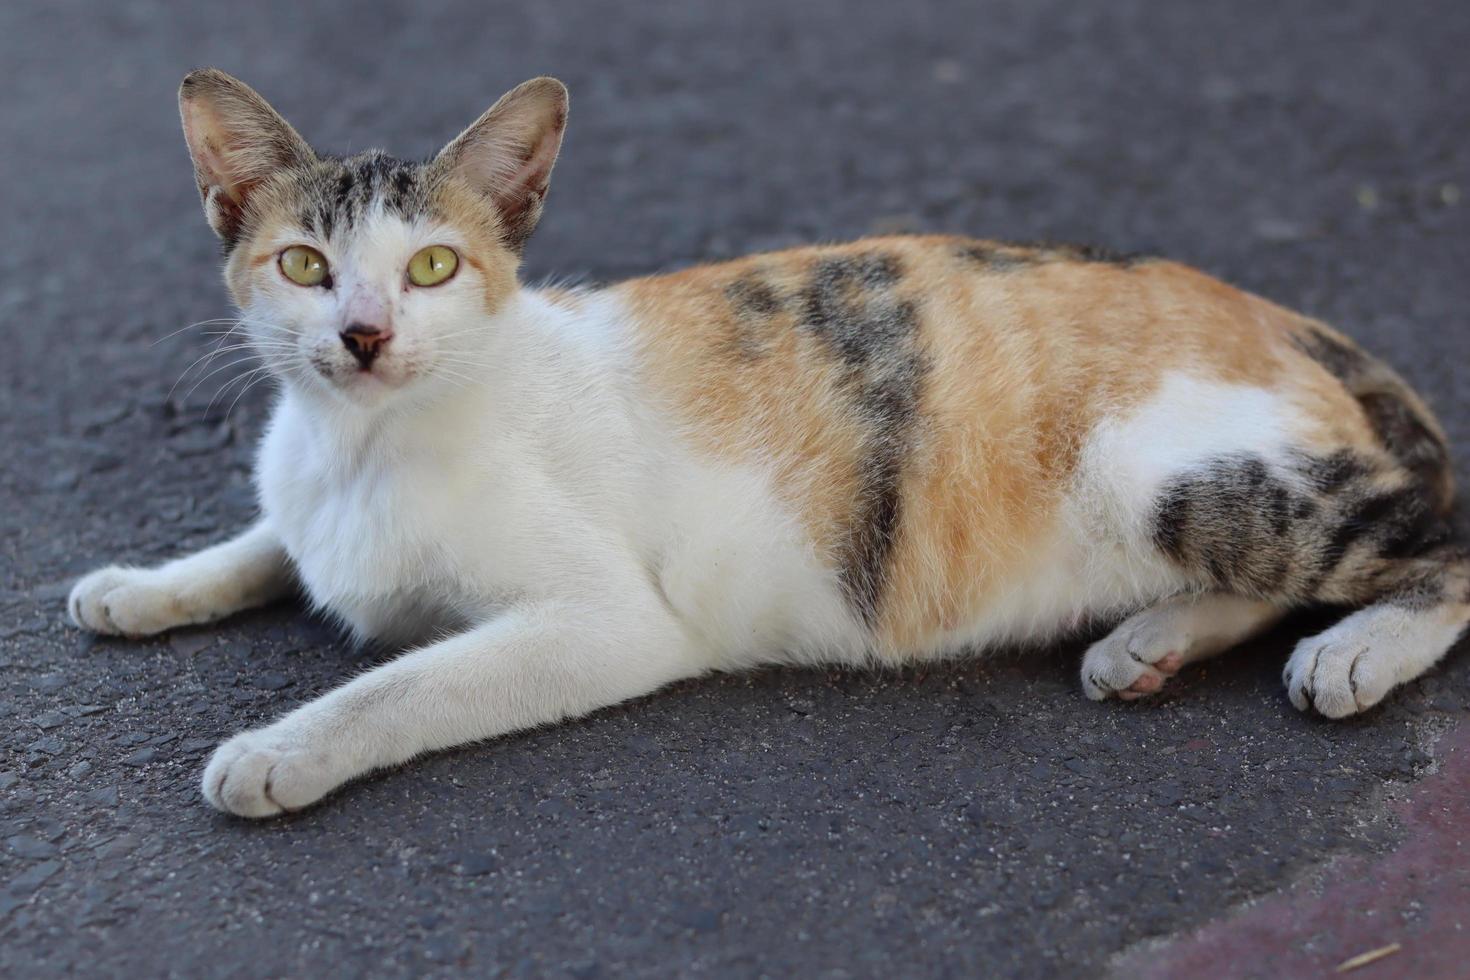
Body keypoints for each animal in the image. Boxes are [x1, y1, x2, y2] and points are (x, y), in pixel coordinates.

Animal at [71, 70, 1470, 822]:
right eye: (304, 264)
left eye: (433, 267)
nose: (362, 333)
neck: (367, 444)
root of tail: (1267, 307)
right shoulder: (304, 499)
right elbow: (262, 541)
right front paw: (141, 585)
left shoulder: (606, 624)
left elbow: (400, 683)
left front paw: (278, 749)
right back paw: (1154, 639)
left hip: (1167, 474)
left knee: (1439, 544)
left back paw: (1352, 649)